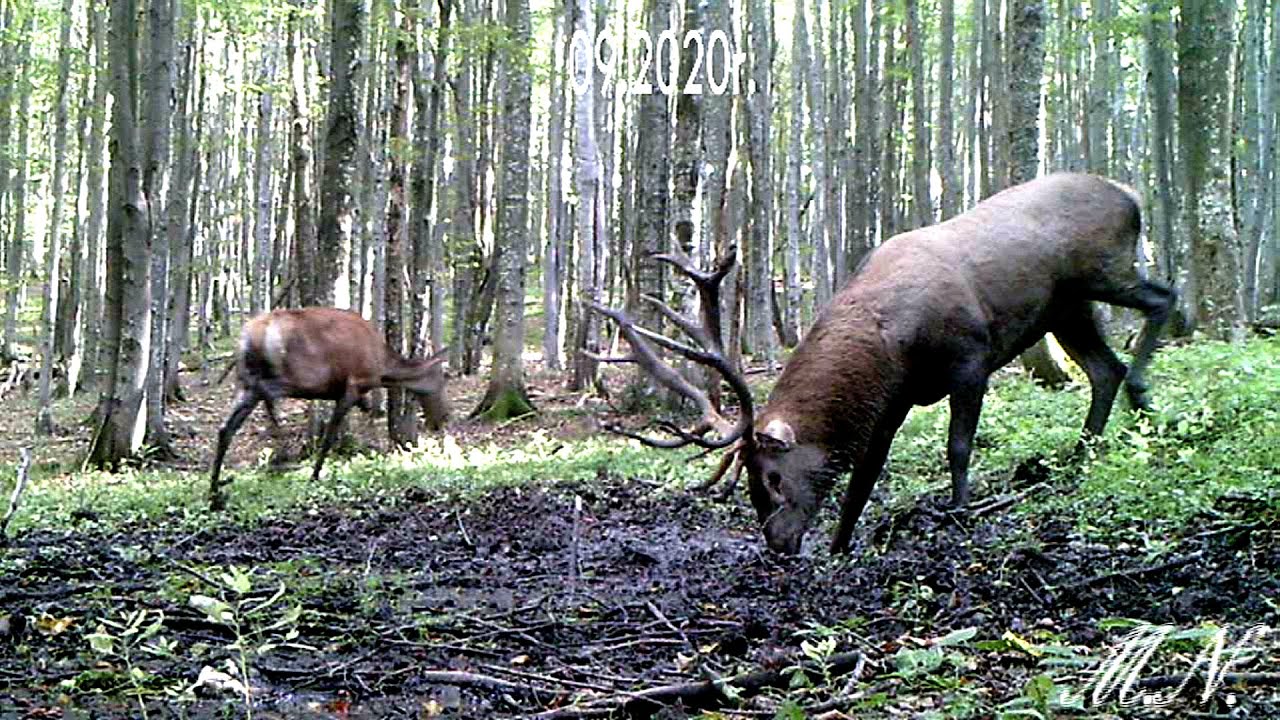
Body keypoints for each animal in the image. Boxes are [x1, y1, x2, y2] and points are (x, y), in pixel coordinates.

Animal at [209, 308, 450, 509]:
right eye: (442, 379)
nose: (443, 418)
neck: (383, 369)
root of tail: (249, 337)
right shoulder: (354, 384)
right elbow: (330, 435)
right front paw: (314, 476)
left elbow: (365, 410)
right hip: (297, 377)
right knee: (267, 394)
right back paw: (280, 451)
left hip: (245, 381)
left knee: (225, 428)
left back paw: (215, 492)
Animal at [593, 174, 1172, 556]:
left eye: (773, 478)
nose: (777, 543)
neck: (893, 344)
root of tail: (1131, 194)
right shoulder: (893, 400)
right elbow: (864, 476)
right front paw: (840, 547)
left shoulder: (970, 359)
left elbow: (957, 446)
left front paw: (960, 511)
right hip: (1068, 308)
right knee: (1104, 369)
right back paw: (1087, 449)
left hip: (1104, 270)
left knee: (1165, 298)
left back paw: (1143, 396)